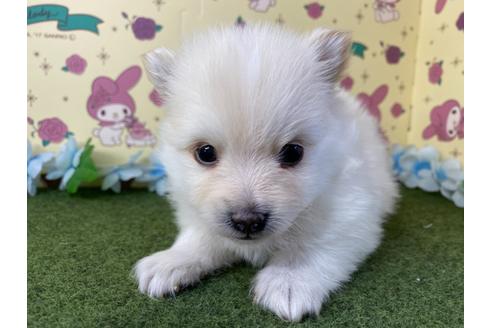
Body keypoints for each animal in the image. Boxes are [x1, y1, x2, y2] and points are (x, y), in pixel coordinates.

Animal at [135, 24, 400, 322]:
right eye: (205, 153)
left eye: (293, 152)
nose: (247, 221)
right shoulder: (199, 213)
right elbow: (201, 238)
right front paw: (171, 261)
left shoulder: (351, 215)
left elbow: (313, 246)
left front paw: (289, 280)